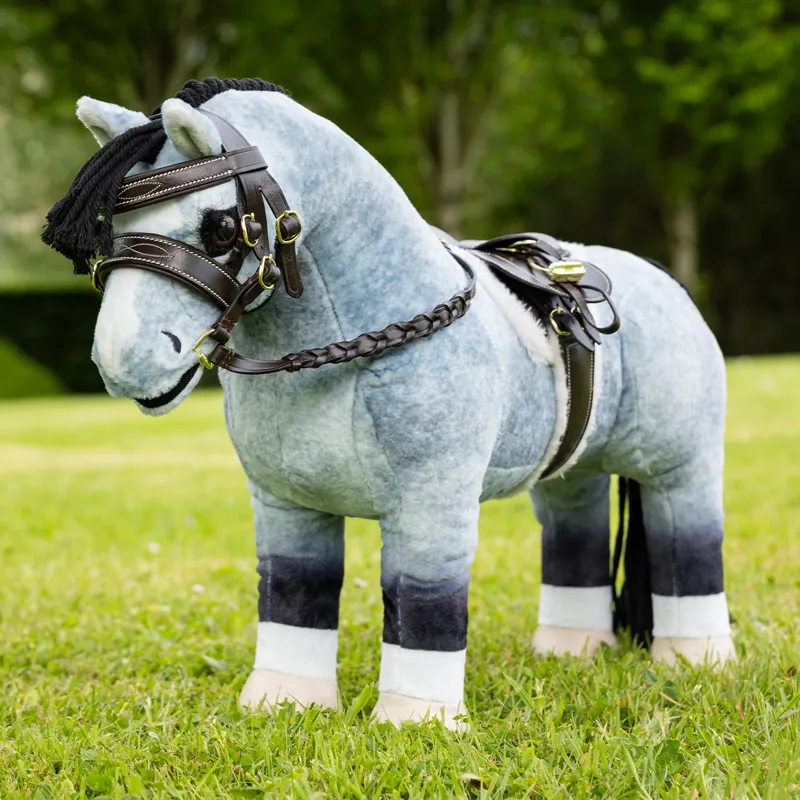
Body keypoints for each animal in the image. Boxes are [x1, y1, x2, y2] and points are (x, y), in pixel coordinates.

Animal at [42, 78, 734, 729]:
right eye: (109, 227)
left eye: (218, 227)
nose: (122, 358)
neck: (352, 347)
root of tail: (663, 281)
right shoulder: (288, 506)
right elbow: (294, 594)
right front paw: (283, 704)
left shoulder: (430, 508)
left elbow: (424, 602)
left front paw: (417, 721)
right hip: (572, 474)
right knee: (575, 533)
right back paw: (569, 650)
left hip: (681, 468)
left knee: (689, 543)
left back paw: (697, 660)